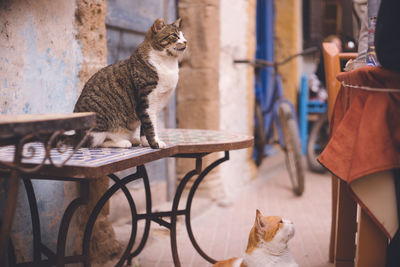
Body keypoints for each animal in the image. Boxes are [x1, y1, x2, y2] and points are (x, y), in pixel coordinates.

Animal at [74, 18, 187, 150]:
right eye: (174, 35)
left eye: (182, 35)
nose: (185, 41)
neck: (168, 63)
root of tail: (76, 136)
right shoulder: (147, 101)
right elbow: (150, 125)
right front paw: (155, 143)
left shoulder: (151, 105)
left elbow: (145, 126)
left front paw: (145, 142)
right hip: (98, 125)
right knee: (96, 143)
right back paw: (122, 142)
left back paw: (133, 140)